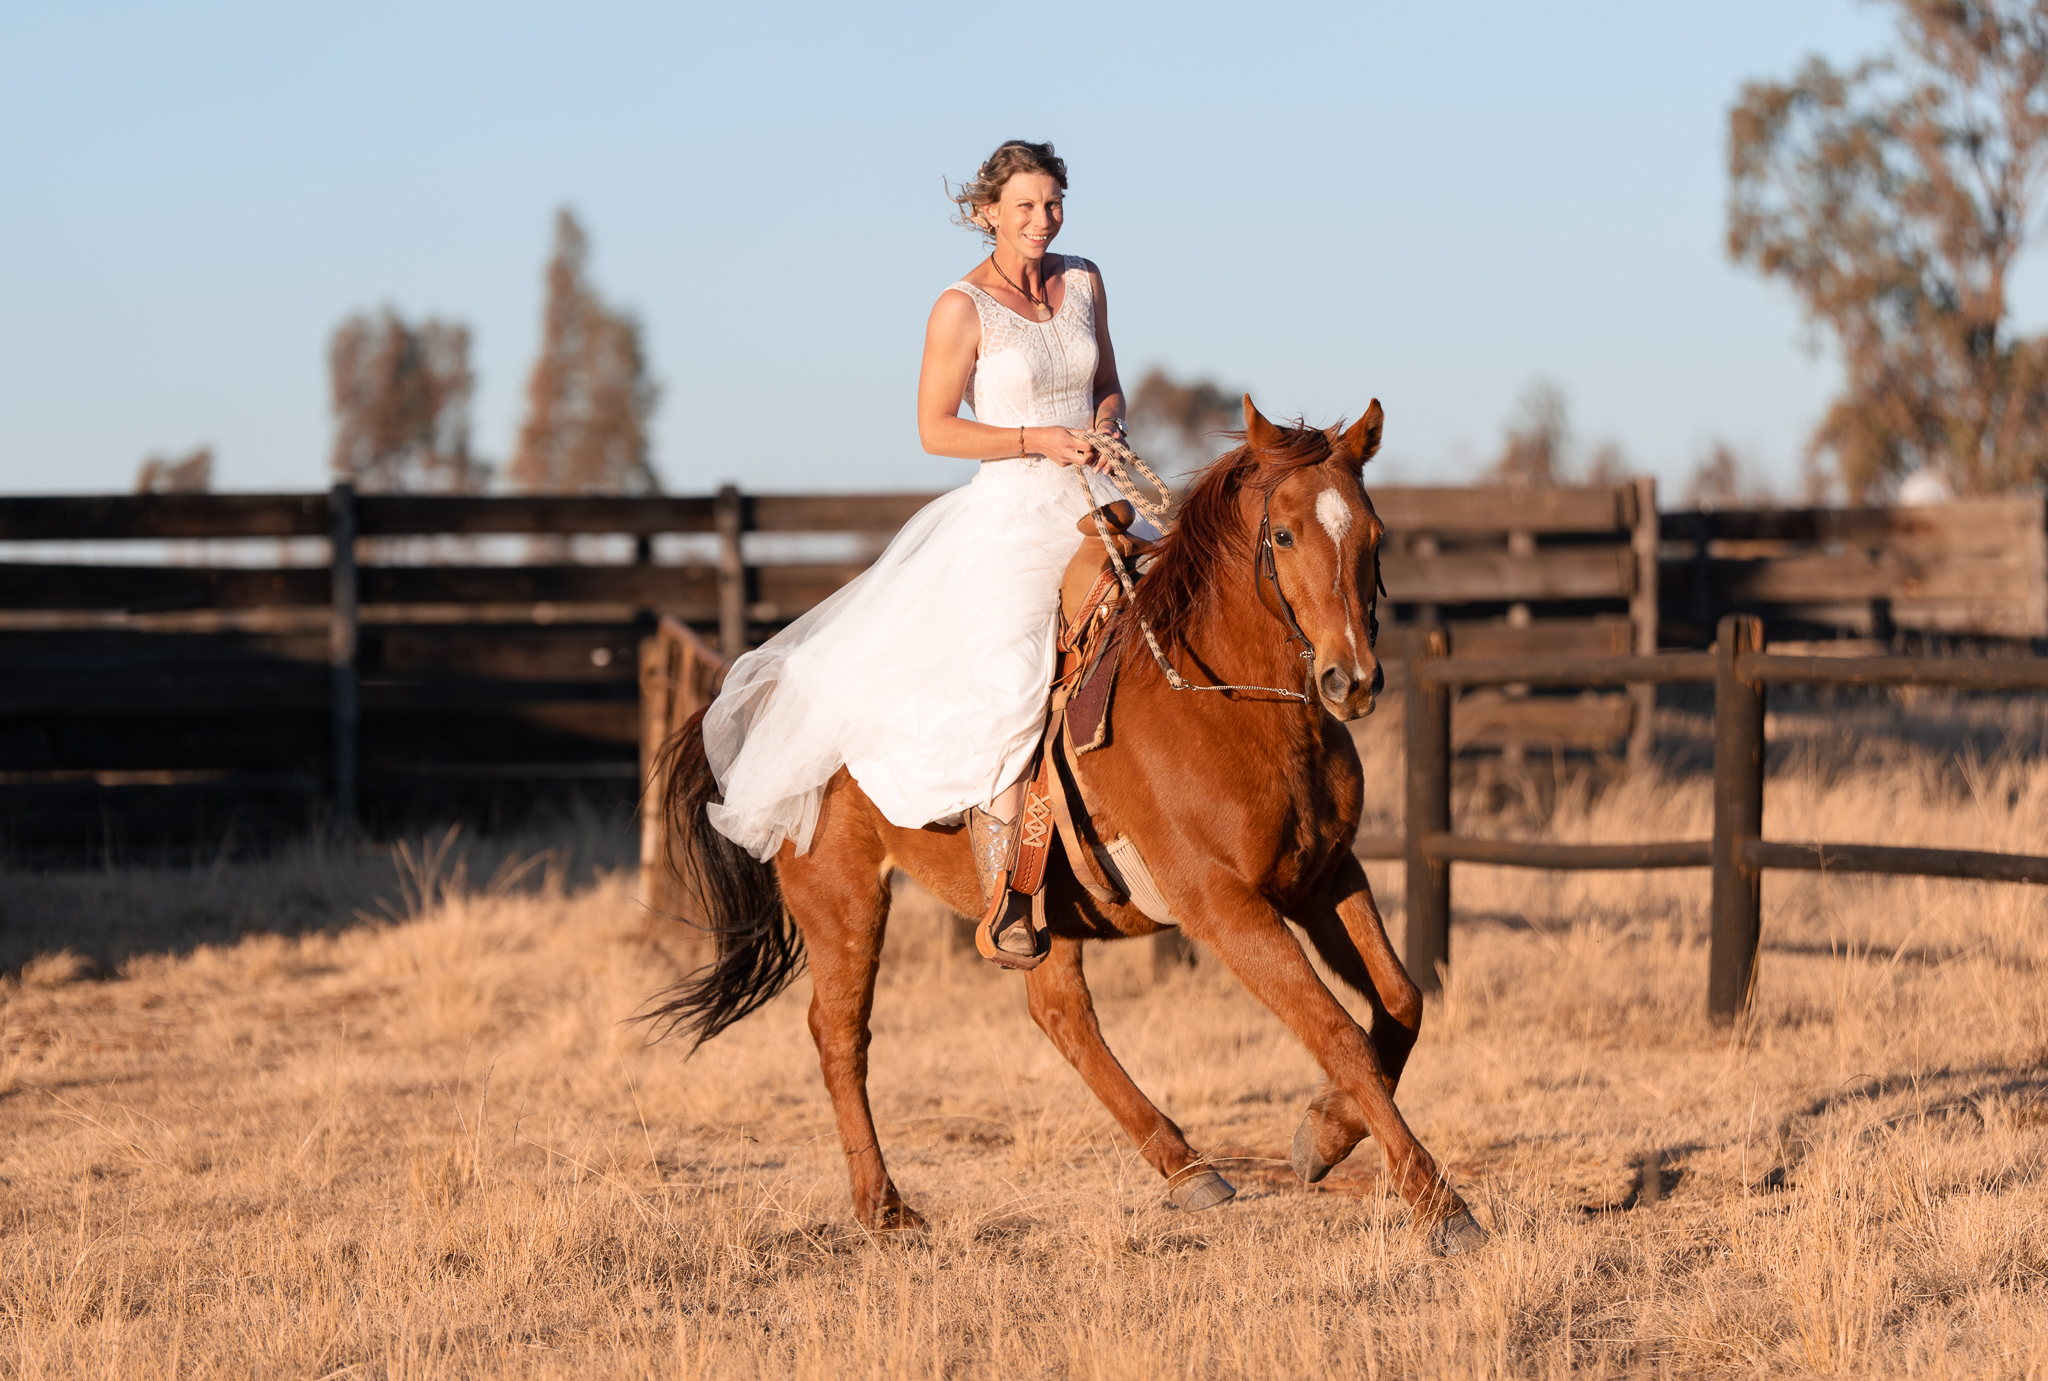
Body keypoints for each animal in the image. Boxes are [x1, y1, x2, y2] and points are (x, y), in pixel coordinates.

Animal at [650, 397, 1486, 1256]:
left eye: (1375, 533)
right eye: (1283, 534)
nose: (1351, 680)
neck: (1229, 703)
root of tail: (767, 685)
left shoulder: (1327, 875)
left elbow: (1402, 1000)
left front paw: (1323, 1135)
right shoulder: (1226, 907)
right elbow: (1337, 1032)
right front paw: (1440, 1204)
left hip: (1032, 911)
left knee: (1059, 1015)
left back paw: (1185, 1165)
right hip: (841, 895)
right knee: (840, 1033)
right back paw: (883, 1206)